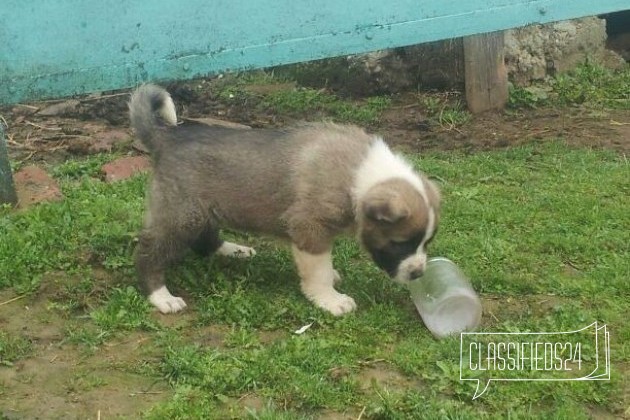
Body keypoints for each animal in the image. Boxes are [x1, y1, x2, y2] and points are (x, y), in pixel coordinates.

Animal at [130, 84, 442, 316]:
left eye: (426, 243)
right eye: (401, 243)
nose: (418, 273)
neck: (360, 175)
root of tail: (166, 136)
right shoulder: (309, 227)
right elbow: (318, 270)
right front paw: (330, 299)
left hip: (201, 209)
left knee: (204, 240)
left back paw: (233, 250)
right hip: (181, 214)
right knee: (148, 252)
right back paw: (161, 296)